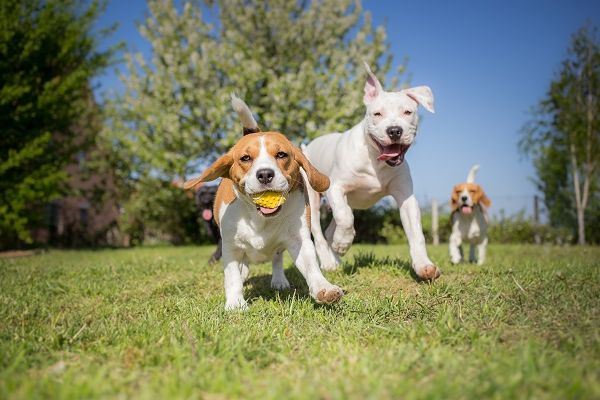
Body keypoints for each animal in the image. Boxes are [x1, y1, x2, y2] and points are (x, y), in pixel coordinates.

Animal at [183, 95, 342, 310]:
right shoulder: (230, 246)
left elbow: (311, 267)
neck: (259, 217)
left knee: (277, 258)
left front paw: (324, 288)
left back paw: (279, 280)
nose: (265, 174)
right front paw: (235, 303)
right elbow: (232, 276)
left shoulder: (299, 239)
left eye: (282, 155)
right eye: (245, 158)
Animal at [304, 63, 440, 282]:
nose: (394, 130)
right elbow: (345, 217)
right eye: (377, 114)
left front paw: (424, 265)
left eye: (407, 112)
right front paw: (343, 243)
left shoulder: (406, 198)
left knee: (329, 229)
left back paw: (336, 259)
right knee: (318, 230)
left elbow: (416, 233)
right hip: (314, 197)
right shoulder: (336, 187)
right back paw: (328, 261)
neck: (376, 161)